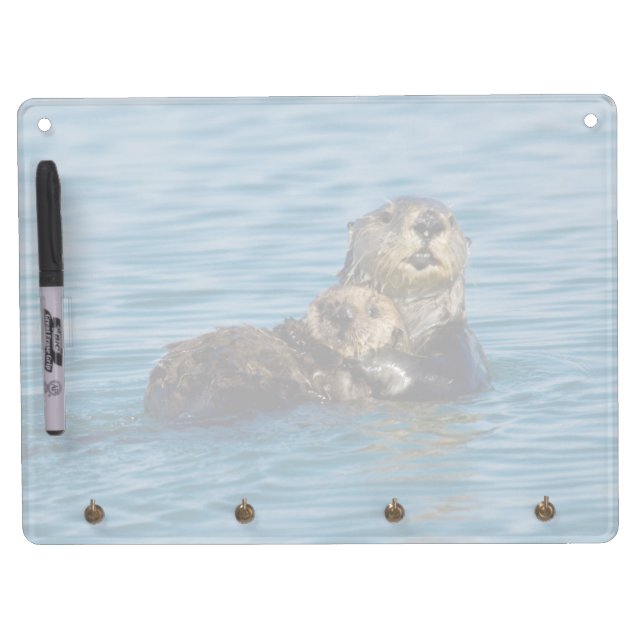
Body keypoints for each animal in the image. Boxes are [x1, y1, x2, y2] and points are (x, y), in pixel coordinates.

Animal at [339, 197, 489, 400]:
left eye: (452, 220)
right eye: (385, 217)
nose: (429, 222)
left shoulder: (462, 346)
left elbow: (443, 375)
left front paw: (364, 354)